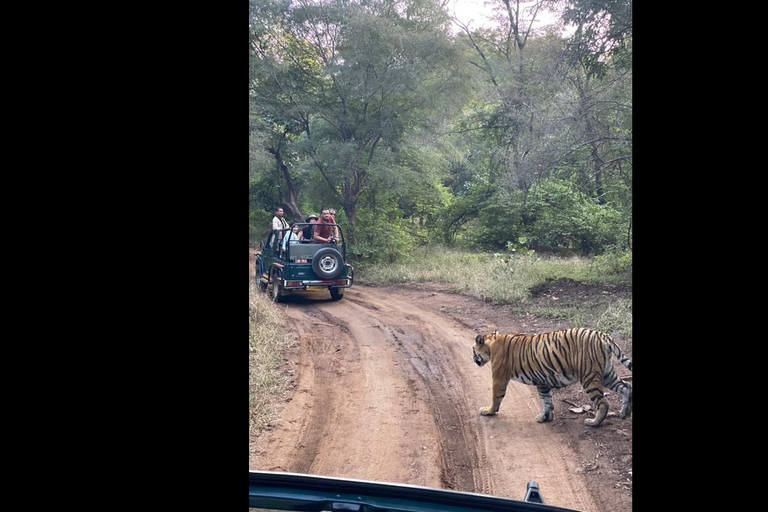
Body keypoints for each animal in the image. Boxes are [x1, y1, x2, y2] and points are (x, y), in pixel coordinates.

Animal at [472, 328, 632, 428]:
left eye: (473, 350)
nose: (473, 360)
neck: (492, 342)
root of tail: (602, 335)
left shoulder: (499, 377)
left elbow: (496, 397)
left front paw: (488, 411)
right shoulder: (542, 381)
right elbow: (546, 400)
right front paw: (545, 417)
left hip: (589, 377)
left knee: (603, 402)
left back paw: (593, 423)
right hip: (606, 374)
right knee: (626, 387)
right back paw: (624, 413)